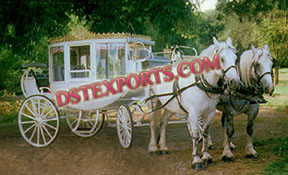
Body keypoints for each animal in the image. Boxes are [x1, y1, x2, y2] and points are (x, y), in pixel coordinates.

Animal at [147, 37, 240, 170]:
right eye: (221, 59)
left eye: (235, 58)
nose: (235, 82)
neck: (201, 84)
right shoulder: (194, 114)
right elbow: (195, 135)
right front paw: (196, 160)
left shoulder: (209, 113)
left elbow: (205, 133)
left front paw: (206, 156)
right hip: (153, 103)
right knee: (153, 124)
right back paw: (153, 148)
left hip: (170, 107)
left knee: (163, 123)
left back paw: (163, 147)